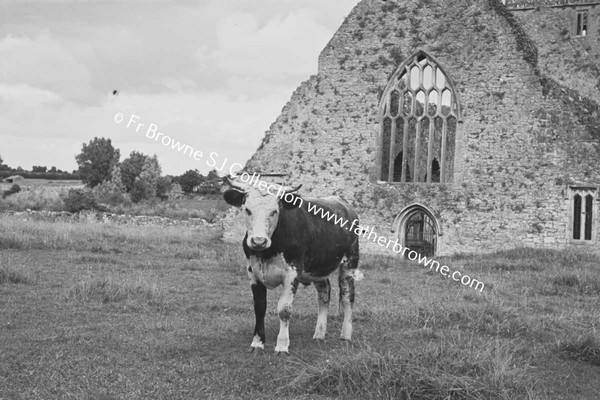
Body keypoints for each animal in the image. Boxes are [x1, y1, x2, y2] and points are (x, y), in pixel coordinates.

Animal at [221, 175, 358, 354]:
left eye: (274, 211)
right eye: (247, 210)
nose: (258, 241)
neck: (267, 252)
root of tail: (342, 202)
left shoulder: (292, 273)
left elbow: (284, 309)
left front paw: (282, 345)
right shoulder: (253, 273)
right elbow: (259, 307)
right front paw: (257, 343)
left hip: (350, 263)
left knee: (348, 296)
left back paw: (346, 335)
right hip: (317, 267)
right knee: (324, 294)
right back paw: (319, 334)